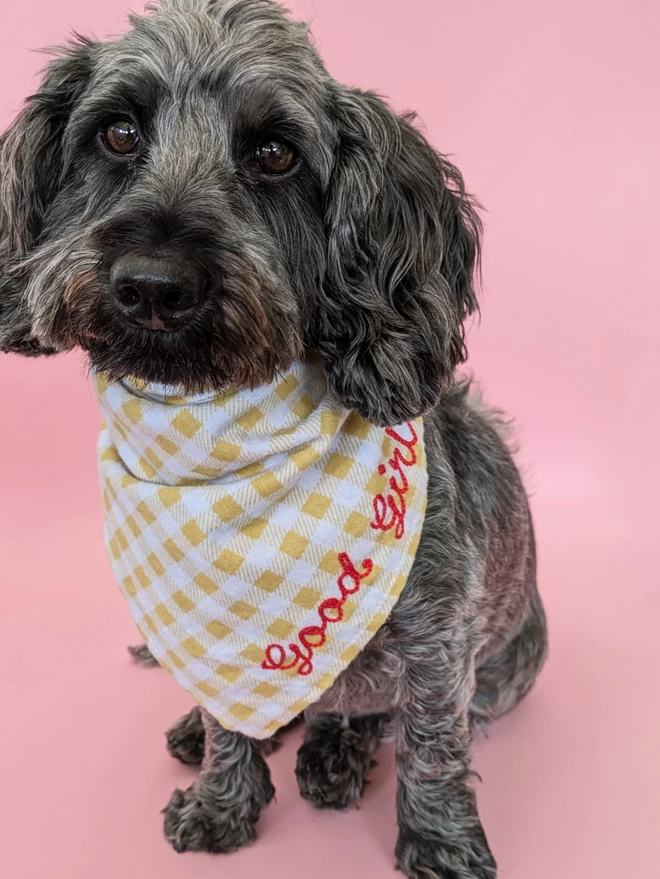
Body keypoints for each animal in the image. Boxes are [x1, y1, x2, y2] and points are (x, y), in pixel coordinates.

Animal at [0, 1, 548, 879]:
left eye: (274, 153)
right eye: (117, 133)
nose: (153, 285)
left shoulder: (439, 641)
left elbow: (432, 746)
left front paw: (441, 840)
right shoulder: (210, 631)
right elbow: (232, 721)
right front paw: (222, 800)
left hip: (501, 669)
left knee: (373, 712)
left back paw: (335, 751)